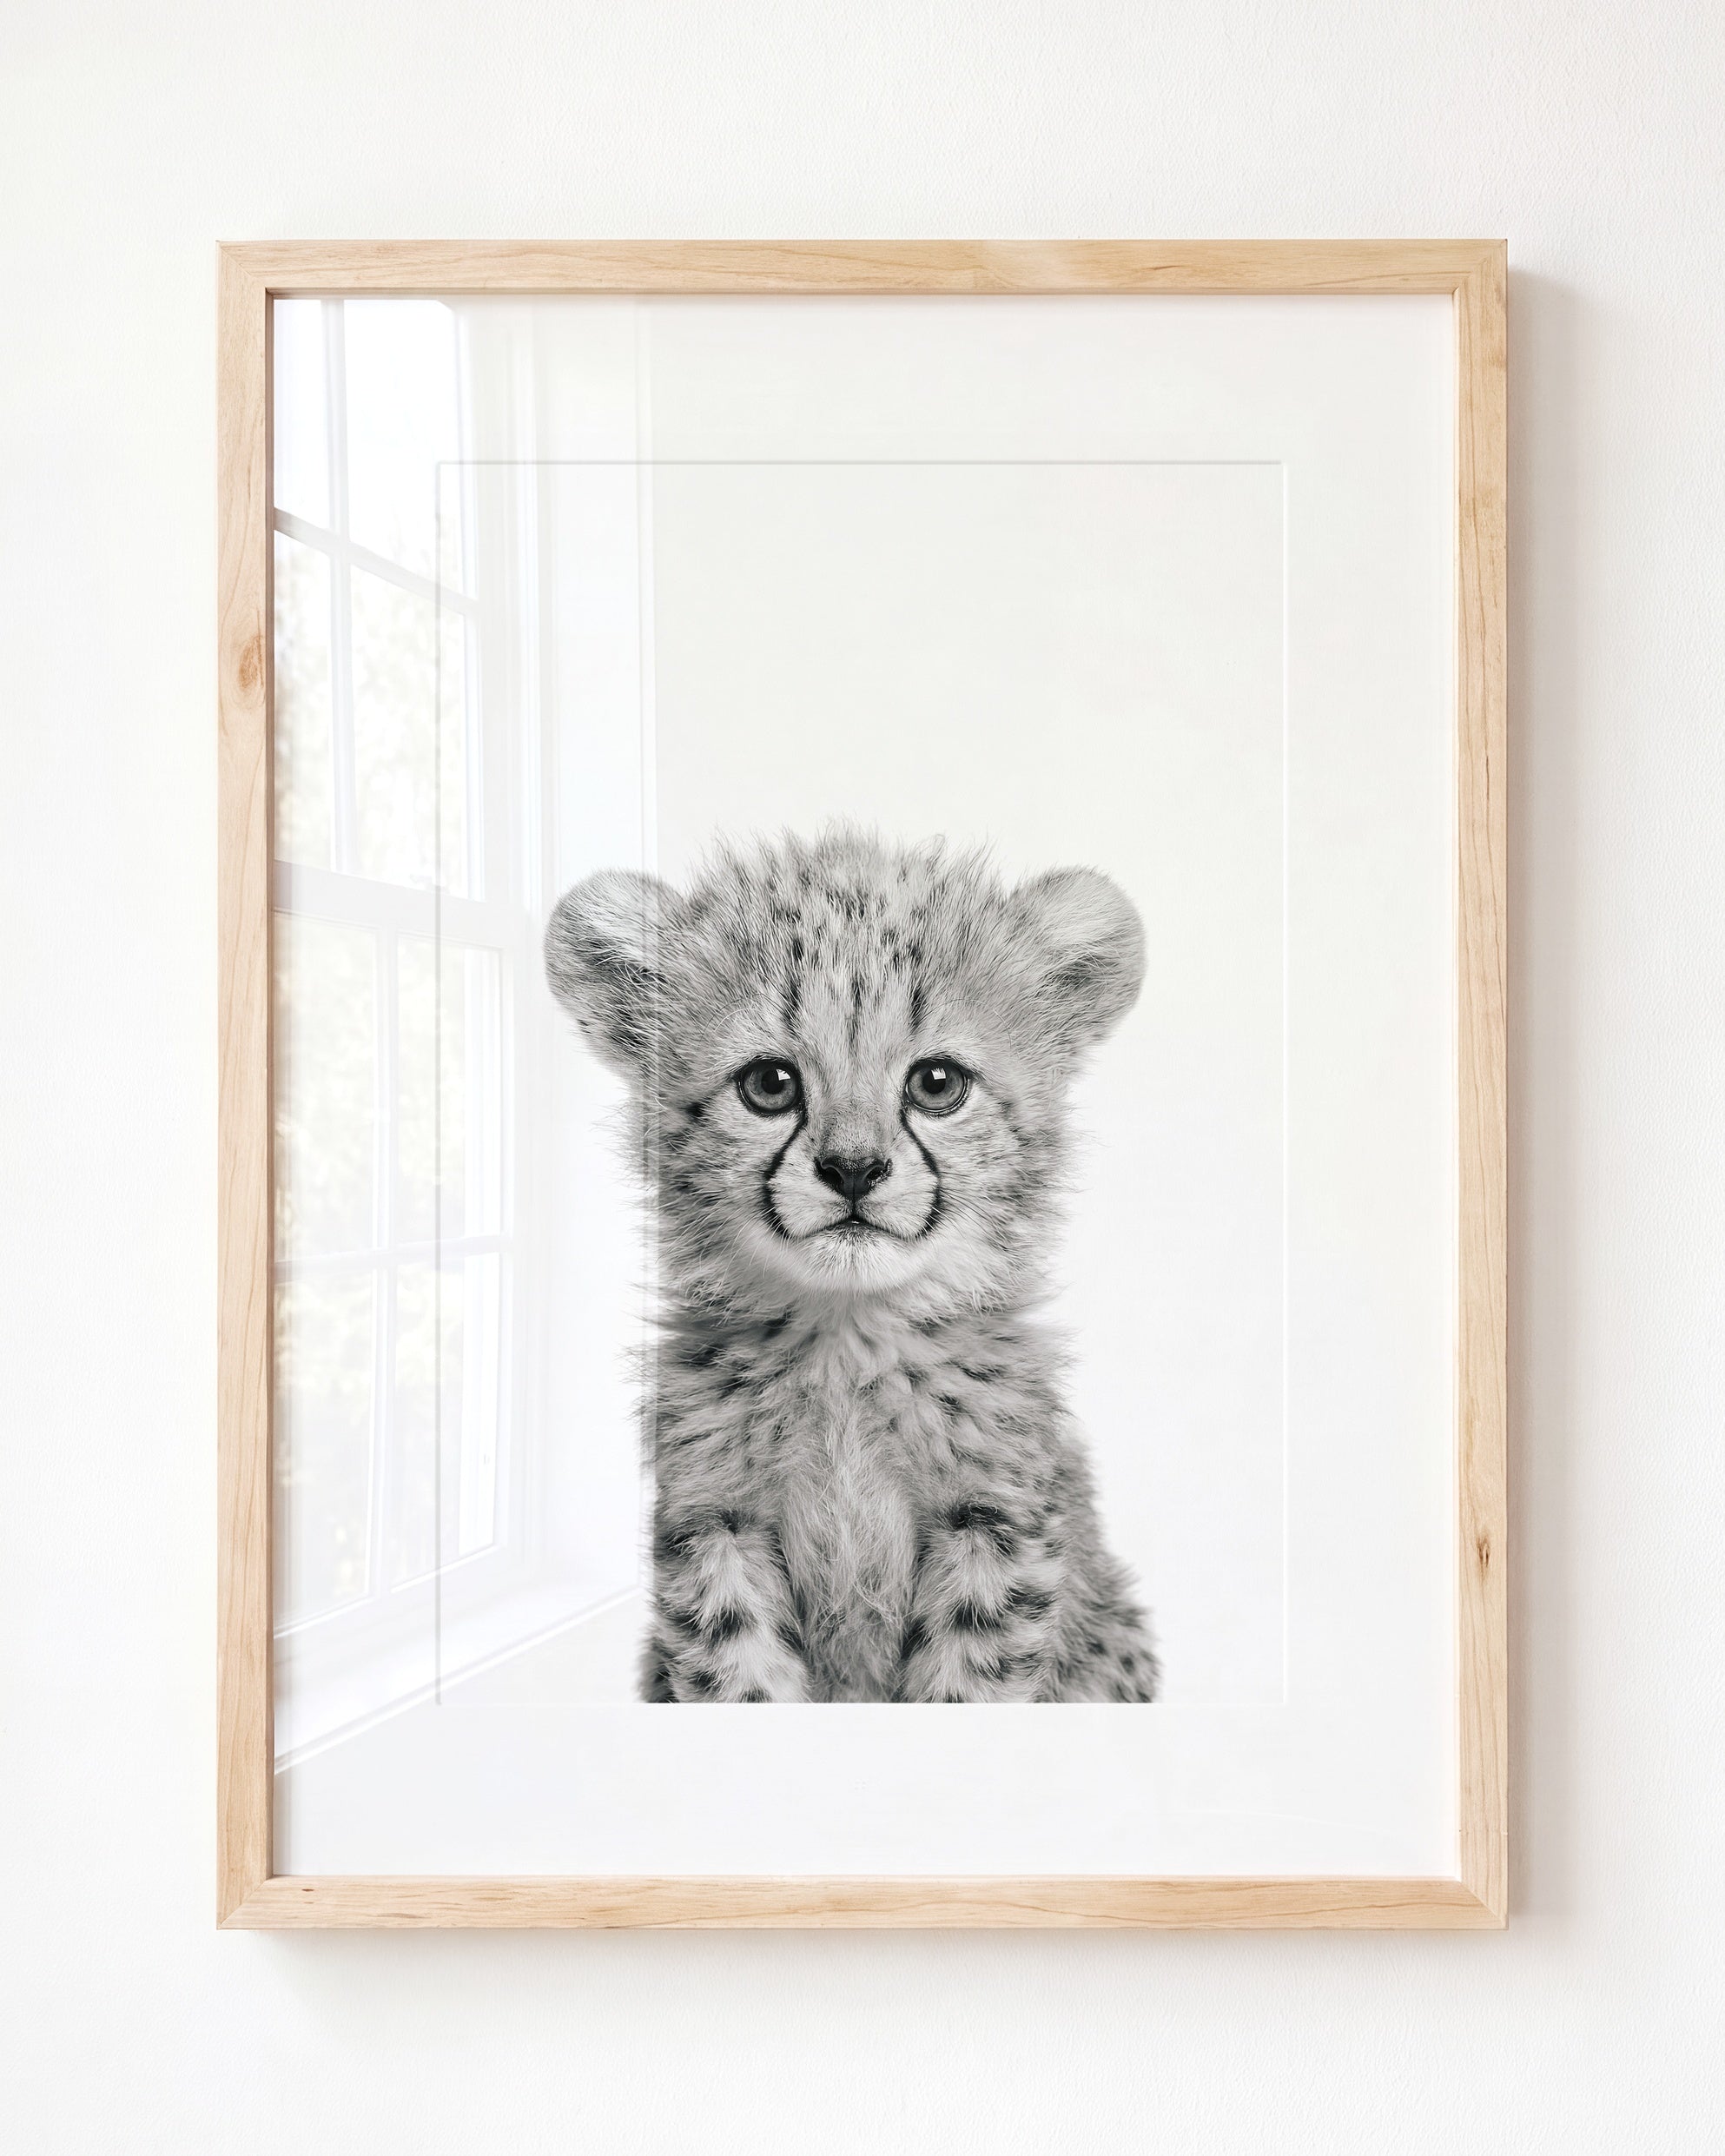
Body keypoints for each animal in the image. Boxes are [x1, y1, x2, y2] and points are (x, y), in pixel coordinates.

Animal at [544, 827, 1159, 1703]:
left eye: (937, 1083)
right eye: (770, 1084)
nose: (854, 1170)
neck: (847, 1339)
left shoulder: (994, 1524)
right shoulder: (715, 1525)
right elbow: (741, 1674)